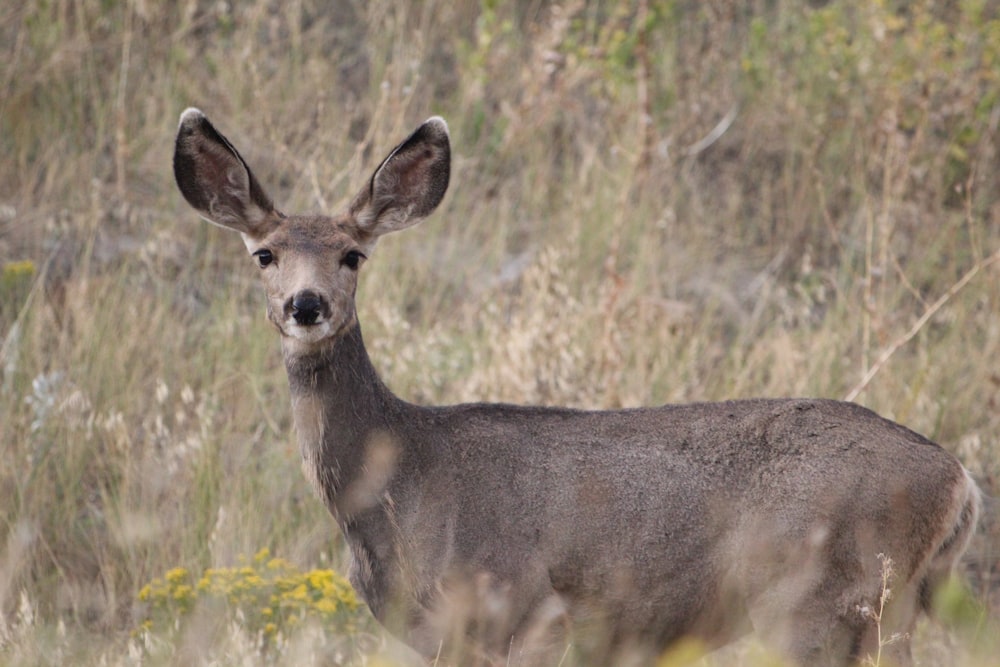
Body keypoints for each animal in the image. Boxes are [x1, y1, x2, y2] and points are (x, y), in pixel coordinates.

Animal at [172, 109, 976, 667]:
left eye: (353, 254)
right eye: (264, 254)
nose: (306, 305)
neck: (402, 480)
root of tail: (960, 480)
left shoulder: (530, 613)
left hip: (816, 602)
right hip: (881, 609)